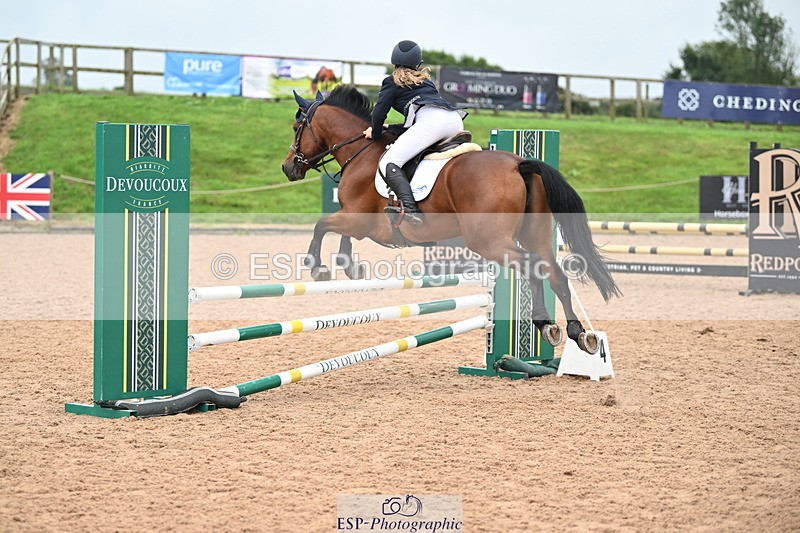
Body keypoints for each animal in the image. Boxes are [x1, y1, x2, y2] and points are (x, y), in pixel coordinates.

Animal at [281, 86, 621, 354]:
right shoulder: (357, 220)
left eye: (297, 127)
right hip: (534, 234)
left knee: (533, 266)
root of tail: (519, 164)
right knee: (555, 274)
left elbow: (322, 226)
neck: (360, 151)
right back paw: (577, 333)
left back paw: (547, 325)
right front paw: (350, 265)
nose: (288, 168)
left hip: (490, 242)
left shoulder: (358, 219)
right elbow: (340, 235)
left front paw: (318, 267)